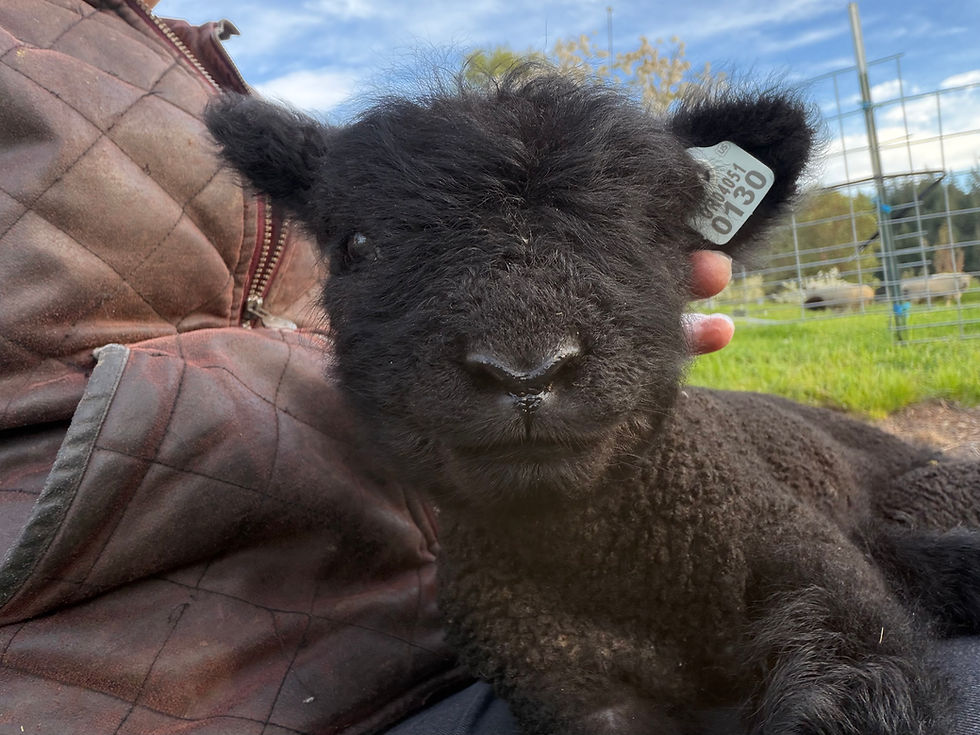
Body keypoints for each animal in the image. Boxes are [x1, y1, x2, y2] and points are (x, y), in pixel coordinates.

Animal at [204, 70, 980, 735]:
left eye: (657, 232)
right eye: (358, 245)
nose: (526, 371)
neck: (617, 558)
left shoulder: (819, 568)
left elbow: (870, 690)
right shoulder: (560, 674)